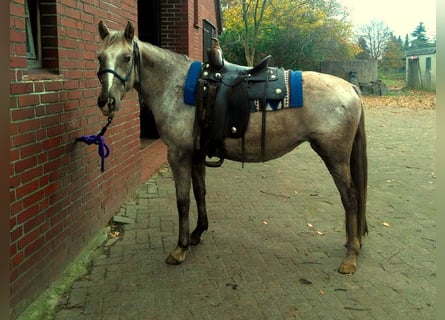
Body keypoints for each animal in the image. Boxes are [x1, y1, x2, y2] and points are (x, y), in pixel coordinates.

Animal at [95, 21, 366, 274]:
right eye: (99, 57)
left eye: (126, 58)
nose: (106, 102)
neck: (176, 86)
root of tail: (350, 88)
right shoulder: (196, 154)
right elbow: (200, 192)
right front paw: (197, 233)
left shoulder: (178, 155)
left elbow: (183, 200)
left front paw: (180, 248)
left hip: (335, 157)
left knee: (351, 198)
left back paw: (351, 256)